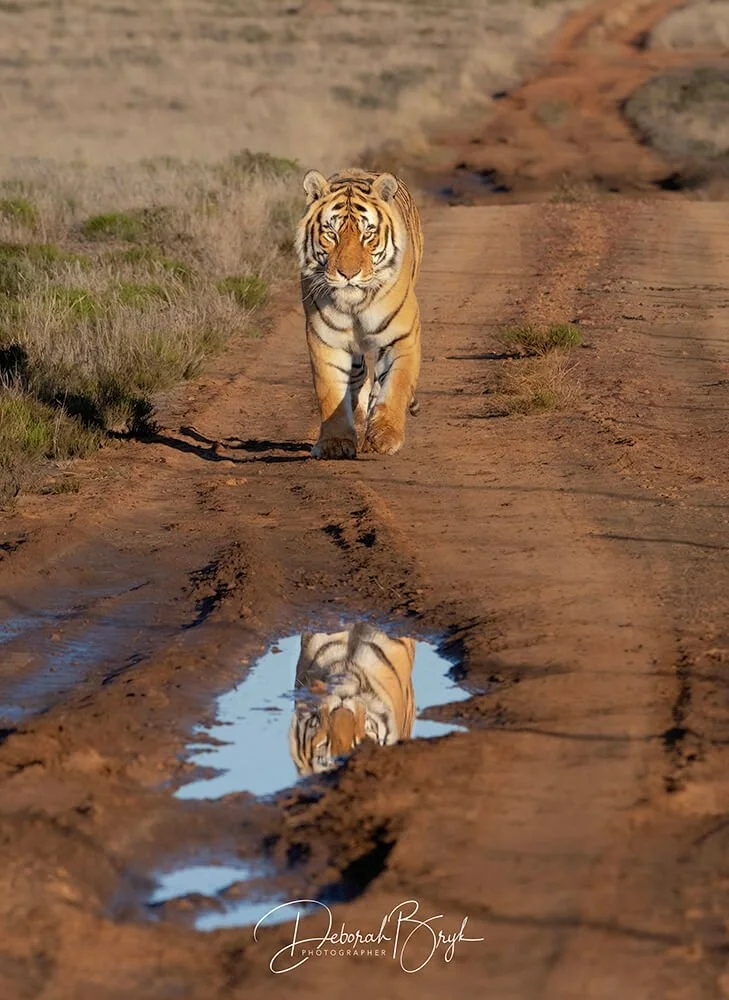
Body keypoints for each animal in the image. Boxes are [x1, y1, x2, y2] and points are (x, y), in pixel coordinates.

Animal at [295, 167, 423, 460]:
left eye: (368, 234)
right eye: (331, 233)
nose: (348, 274)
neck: (355, 305)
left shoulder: (402, 336)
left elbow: (396, 385)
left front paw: (385, 436)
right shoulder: (326, 339)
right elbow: (330, 392)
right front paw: (335, 443)